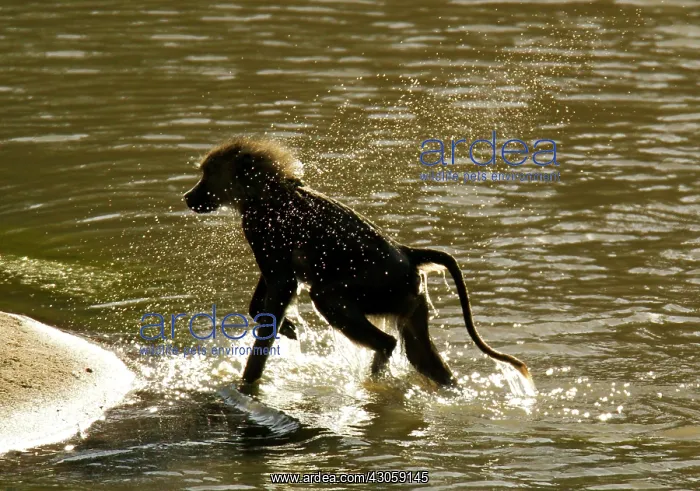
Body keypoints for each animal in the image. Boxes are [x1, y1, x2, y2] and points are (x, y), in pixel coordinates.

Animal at [184, 137, 531, 387]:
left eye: (207, 175)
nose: (188, 197)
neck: (268, 189)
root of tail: (407, 253)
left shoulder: (259, 225)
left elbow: (282, 284)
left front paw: (250, 379)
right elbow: (273, 288)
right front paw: (284, 326)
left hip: (380, 286)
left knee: (332, 300)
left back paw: (381, 360)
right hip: (409, 296)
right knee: (423, 355)